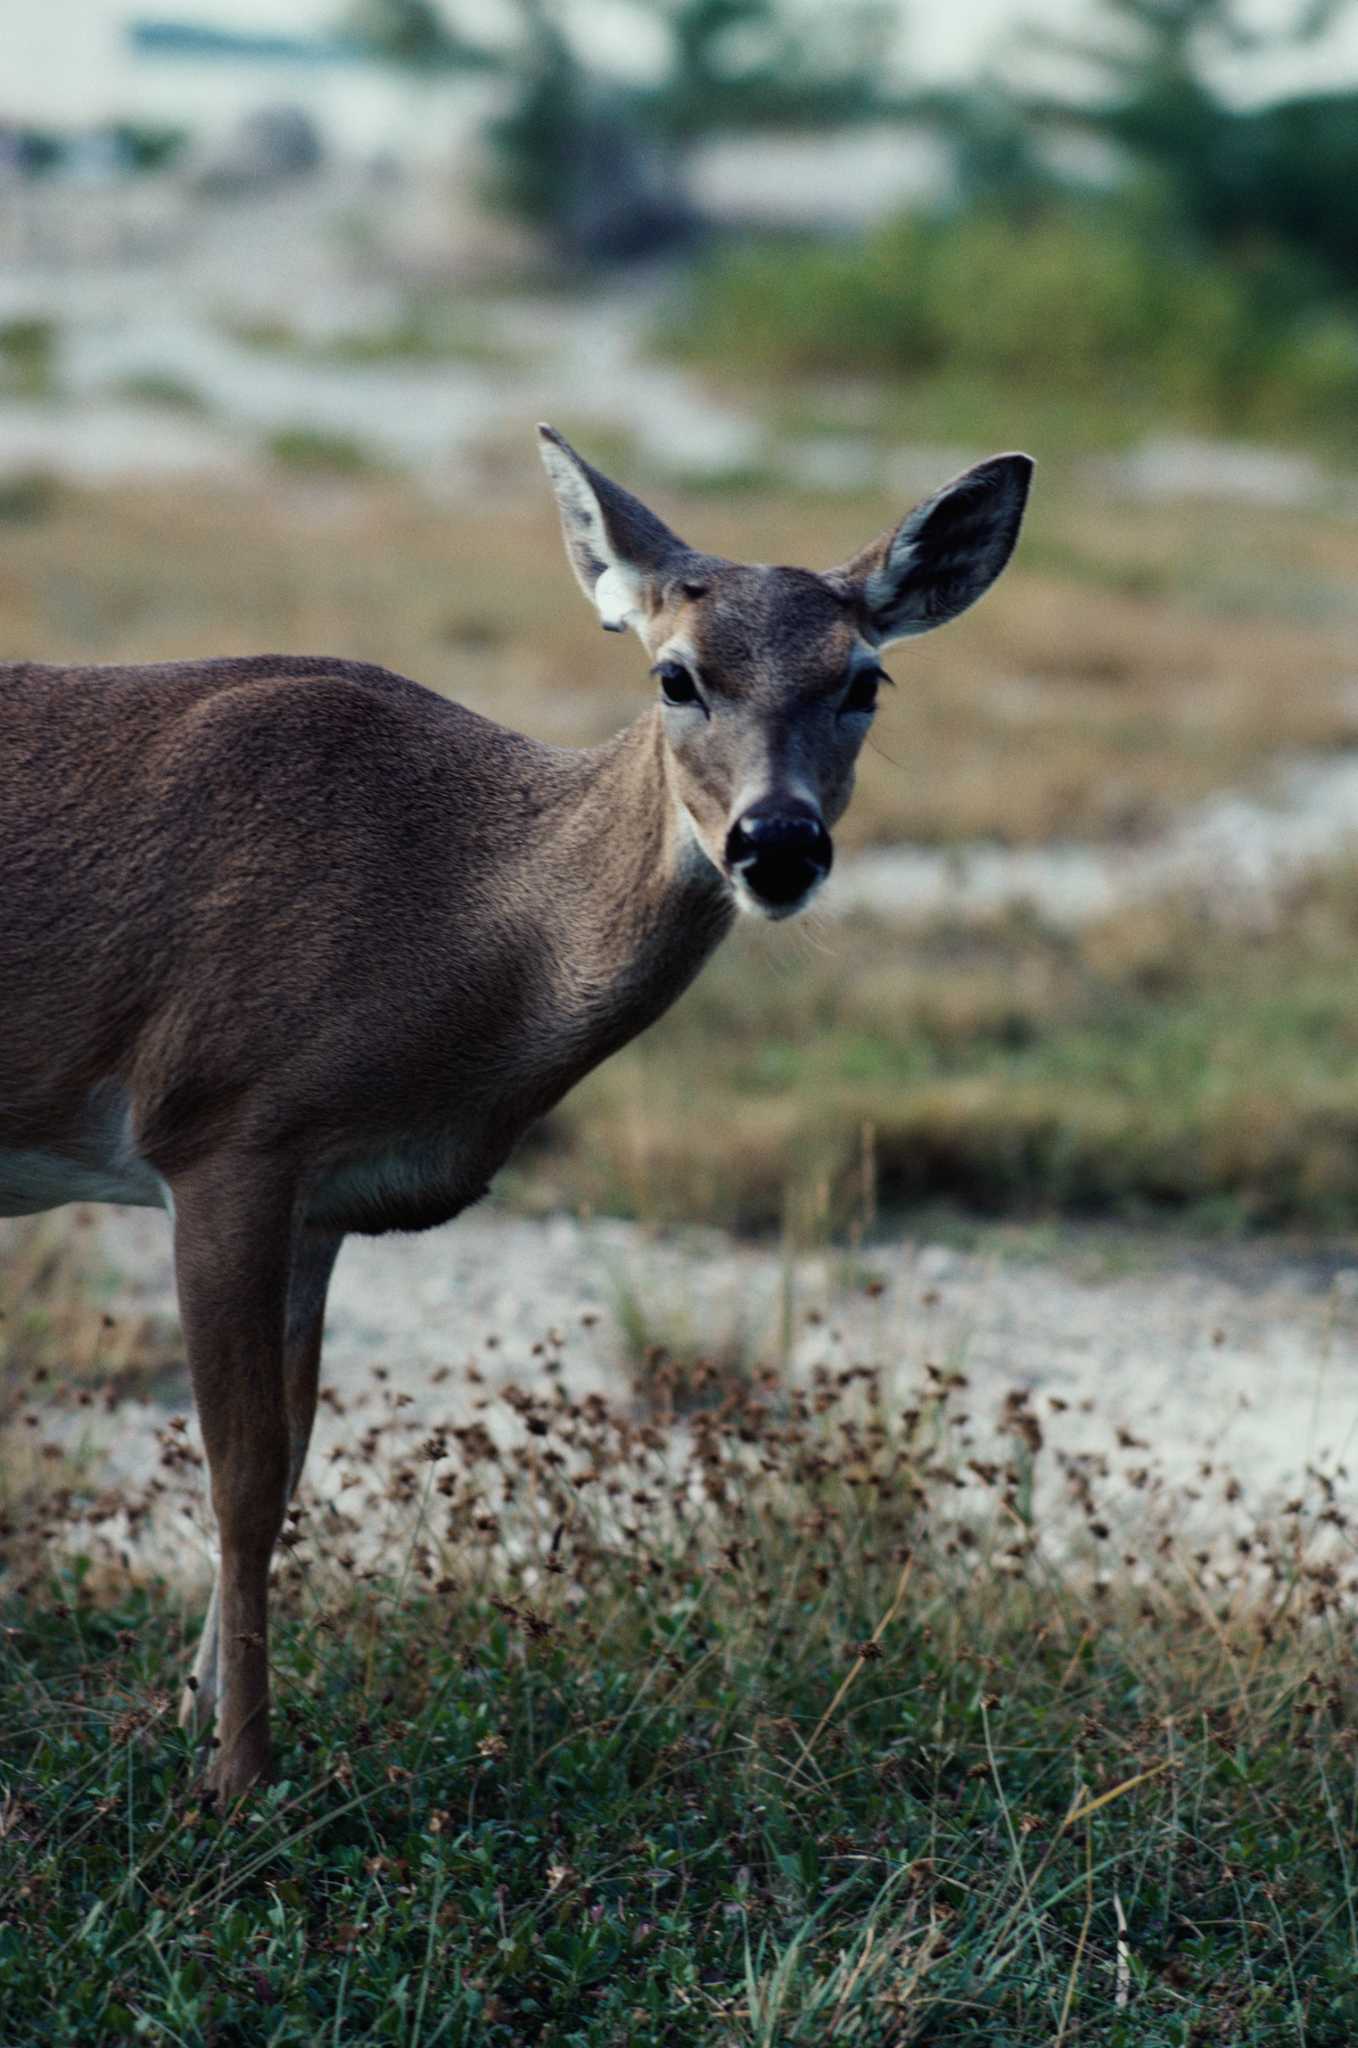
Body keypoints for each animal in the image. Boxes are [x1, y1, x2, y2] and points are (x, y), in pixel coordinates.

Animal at [0, 423, 1032, 1802]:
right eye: (673, 675)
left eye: (864, 680)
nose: (776, 842)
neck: (460, 922)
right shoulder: (220, 1126)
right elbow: (240, 1473)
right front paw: (241, 1777)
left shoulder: (320, 1196)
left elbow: (291, 1457)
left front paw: (191, 1716)